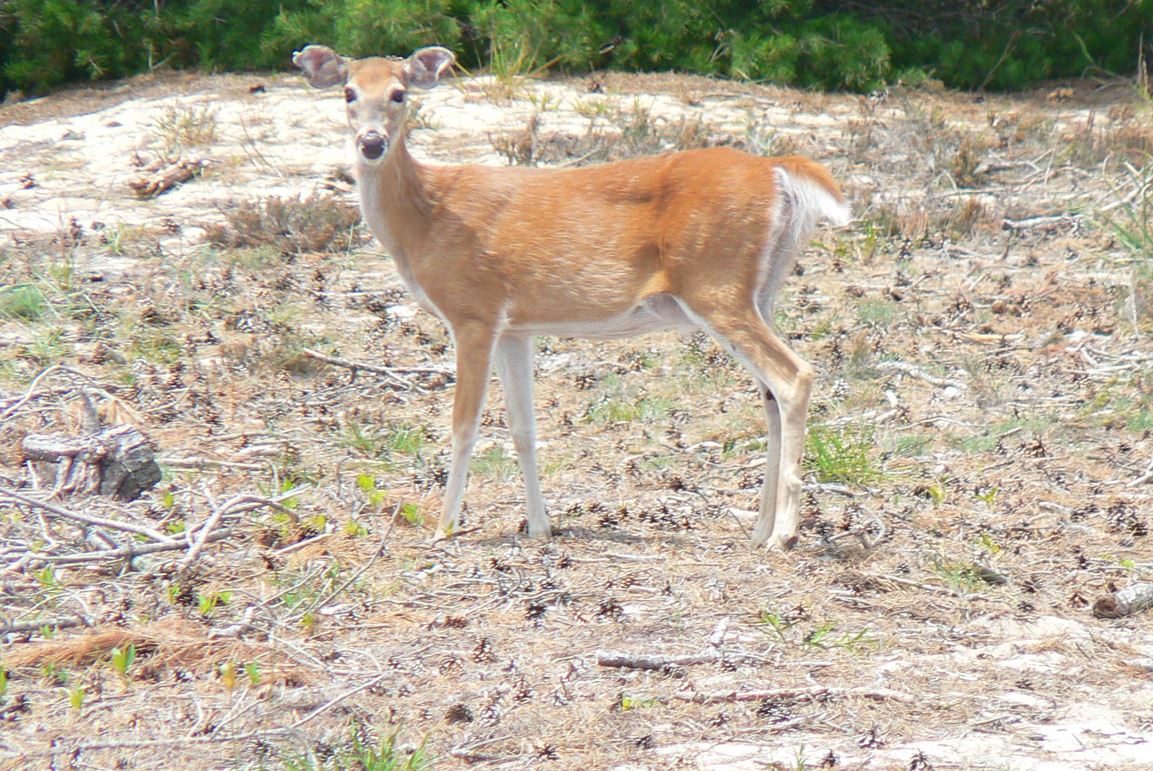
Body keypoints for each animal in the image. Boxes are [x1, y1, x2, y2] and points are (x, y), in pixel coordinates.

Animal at [292, 44, 850, 550]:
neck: (426, 216)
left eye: (399, 93)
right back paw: (758, 531)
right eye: (348, 92)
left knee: (794, 376)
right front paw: (540, 528)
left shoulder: (473, 311)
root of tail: (777, 170)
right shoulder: (514, 327)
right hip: (759, 290)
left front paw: (444, 529)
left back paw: (784, 534)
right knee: (770, 394)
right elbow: (523, 427)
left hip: (715, 283)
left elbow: (464, 425)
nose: (371, 142)